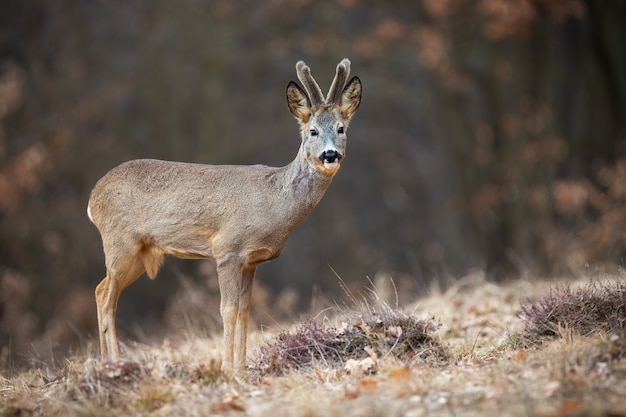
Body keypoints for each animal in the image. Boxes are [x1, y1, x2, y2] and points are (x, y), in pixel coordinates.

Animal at [88, 57, 360, 372]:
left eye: (341, 129)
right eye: (312, 131)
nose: (330, 155)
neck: (274, 201)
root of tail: (92, 199)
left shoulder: (252, 261)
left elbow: (245, 311)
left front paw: (242, 367)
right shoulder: (228, 250)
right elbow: (228, 310)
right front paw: (227, 369)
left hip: (141, 253)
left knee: (100, 290)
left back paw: (106, 361)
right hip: (119, 242)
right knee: (107, 298)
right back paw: (114, 364)